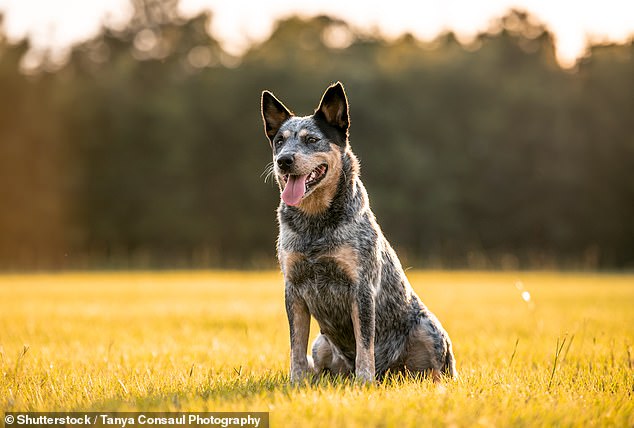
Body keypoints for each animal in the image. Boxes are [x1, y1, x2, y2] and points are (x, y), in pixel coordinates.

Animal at [260, 82, 454, 382]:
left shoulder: (361, 287)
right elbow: (296, 344)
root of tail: (389, 373)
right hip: (321, 343)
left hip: (428, 329)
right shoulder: (293, 288)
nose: (284, 160)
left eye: (312, 140)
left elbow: (364, 342)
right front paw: (296, 381)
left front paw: (364, 381)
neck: (315, 225)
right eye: (279, 140)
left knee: (434, 369)